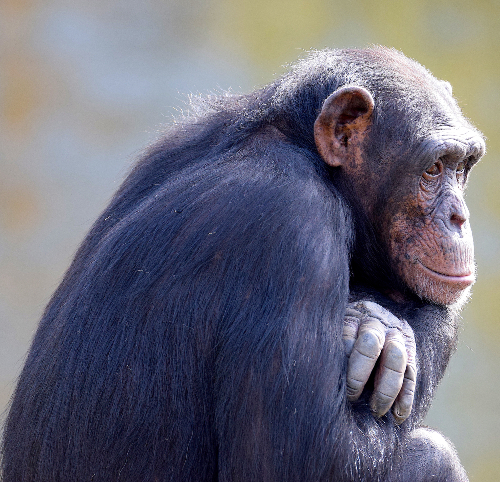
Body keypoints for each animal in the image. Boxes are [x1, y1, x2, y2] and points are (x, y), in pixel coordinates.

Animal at [0, 48, 484, 482]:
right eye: (433, 168)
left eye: (462, 167)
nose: (459, 217)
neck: (300, 147)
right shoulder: (294, 226)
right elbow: (306, 462)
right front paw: (380, 327)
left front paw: (374, 323)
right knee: (431, 457)